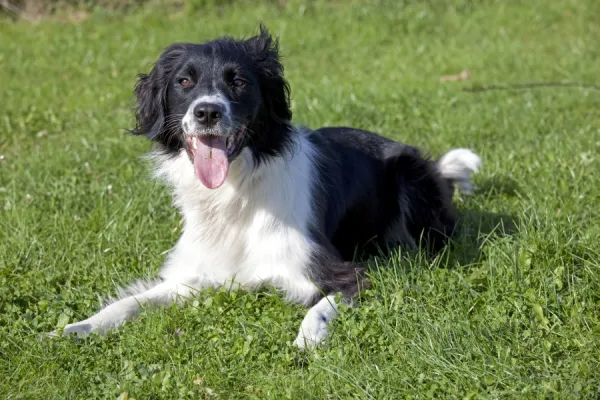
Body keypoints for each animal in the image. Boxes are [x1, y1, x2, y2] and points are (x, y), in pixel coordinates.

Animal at [55, 26, 478, 348]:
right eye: (184, 81)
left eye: (239, 81)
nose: (207, 112)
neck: (235, 194)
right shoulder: (192, 276)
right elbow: (131, 301)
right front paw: (81, 326)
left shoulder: (342, 273)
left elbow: (321, 307)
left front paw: (307, 339)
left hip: (412, 177)